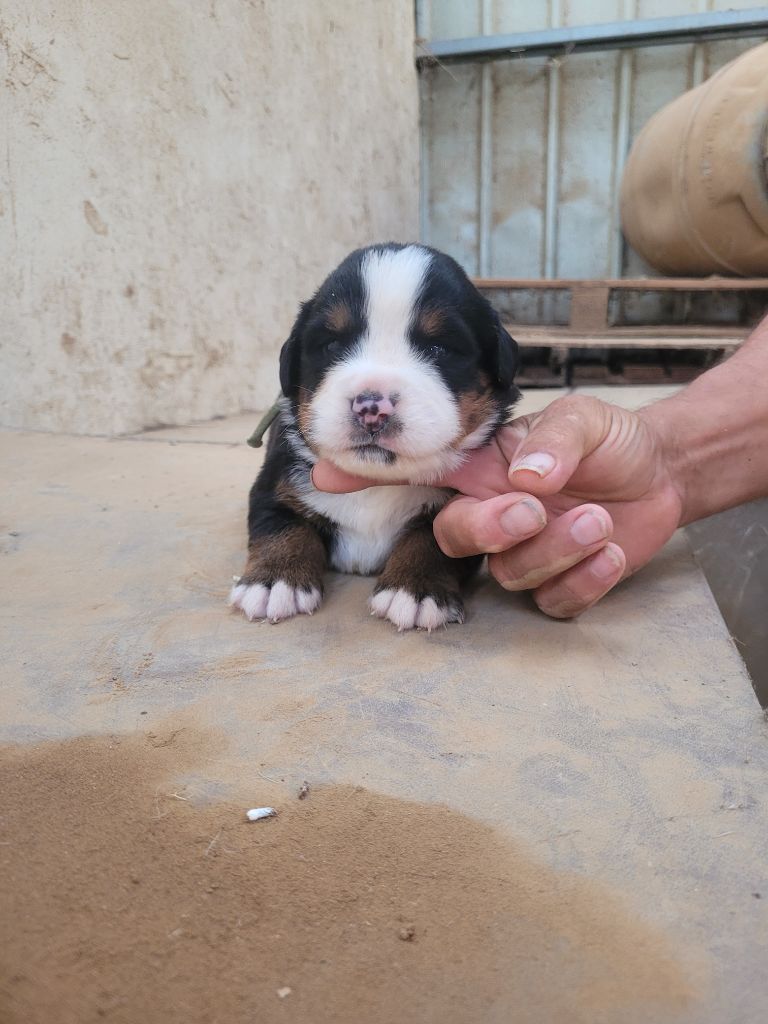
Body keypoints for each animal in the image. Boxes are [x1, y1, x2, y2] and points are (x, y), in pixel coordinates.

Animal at [228, 245, 518, 630]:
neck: (376, 483)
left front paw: (414, 589)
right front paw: (274, 581)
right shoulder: (275, 482)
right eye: (332, 344)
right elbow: (282, 525)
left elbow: (432, 539)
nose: (371, 406)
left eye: (439, 349)